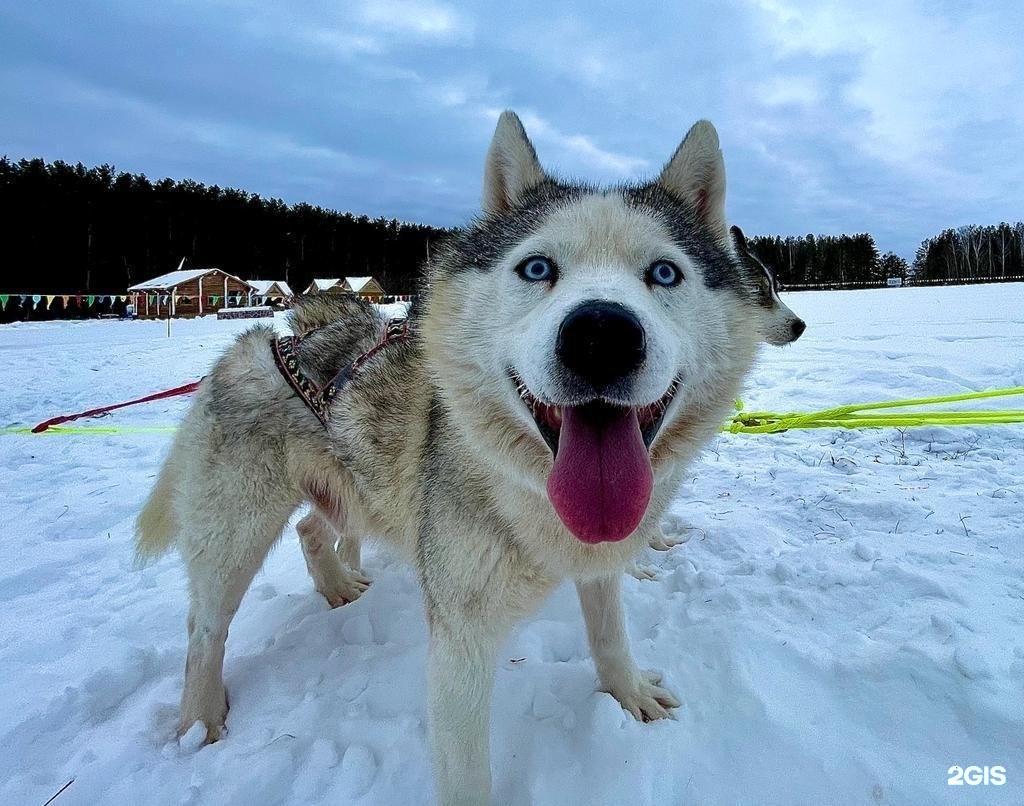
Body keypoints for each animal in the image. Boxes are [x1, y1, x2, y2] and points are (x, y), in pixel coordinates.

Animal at [134, 110, 798, 802]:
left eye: (665, 273)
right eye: (537, 268)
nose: (601, 336)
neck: (529, 489)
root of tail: (260, 342)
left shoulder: (597, 561)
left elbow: (609, 632)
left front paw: (627, 691)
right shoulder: (461, 638)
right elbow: (467, 772)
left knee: (312, 529)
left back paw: (339, 585)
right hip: (234, 534)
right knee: (204, 629)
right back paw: (200, 720)